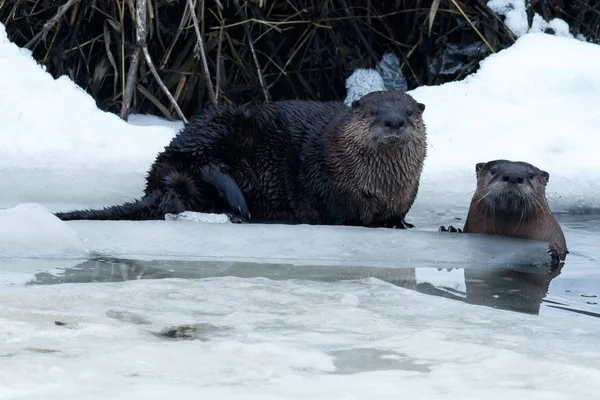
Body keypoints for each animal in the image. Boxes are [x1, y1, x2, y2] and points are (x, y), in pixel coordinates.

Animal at [52, 90, 426, 228]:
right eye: (374, 112)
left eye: (410, 111)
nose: (394, 121)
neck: (379, 187)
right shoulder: (330, 183)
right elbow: (343, 215)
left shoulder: (404, 196)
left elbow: (397, 216)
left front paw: (401, 225)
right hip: (217, 122)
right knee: (199, 159)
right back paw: (239, 204)